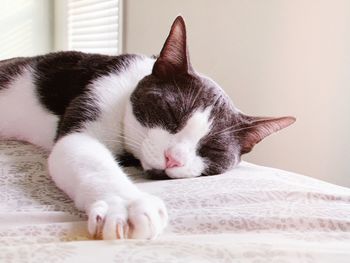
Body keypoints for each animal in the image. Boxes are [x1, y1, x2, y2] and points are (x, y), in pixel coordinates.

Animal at [0, 15, 296, 240]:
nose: (173, 159)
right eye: (171, 113)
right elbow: (90, 158)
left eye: (212, 149)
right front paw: (125, 204)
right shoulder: (97, 93)